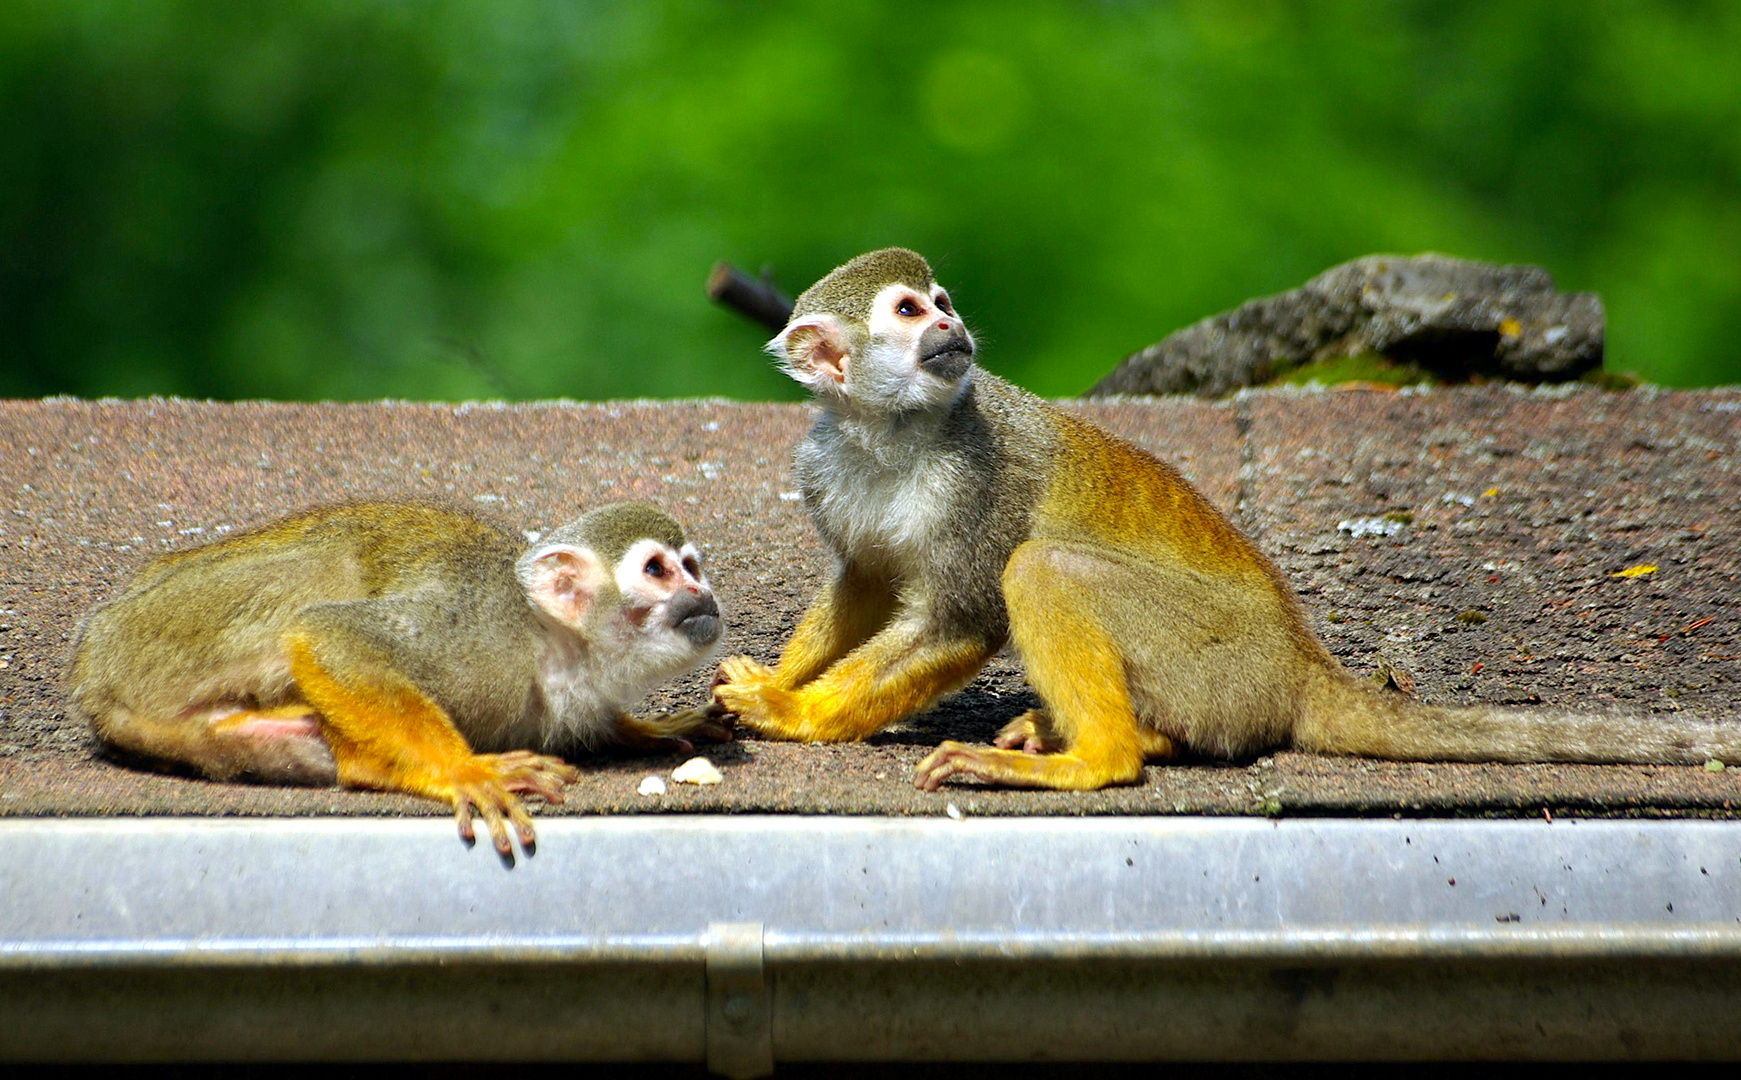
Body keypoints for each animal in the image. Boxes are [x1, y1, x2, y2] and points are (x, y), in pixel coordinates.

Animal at [71, 501, 724, 857]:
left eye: (691, 567)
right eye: (657, 570)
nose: (704, 595)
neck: (556, 644)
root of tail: (89, 669)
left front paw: (650, 729)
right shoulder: (480, 636)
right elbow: (331, 634)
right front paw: (465, 770)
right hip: (160, 633)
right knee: (328, 566)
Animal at [710, 249, 1741, 787]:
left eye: (942, 305)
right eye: (907, 311)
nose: (952, 333)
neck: (892, 431)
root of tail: (1299, 663)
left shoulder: (976, 475)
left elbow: (960, 616)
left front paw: (790, 712)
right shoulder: (825, 462)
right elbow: (863, 582)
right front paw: (773, 679)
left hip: (1218, 656)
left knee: (1040, 568)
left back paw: (1097, 761)